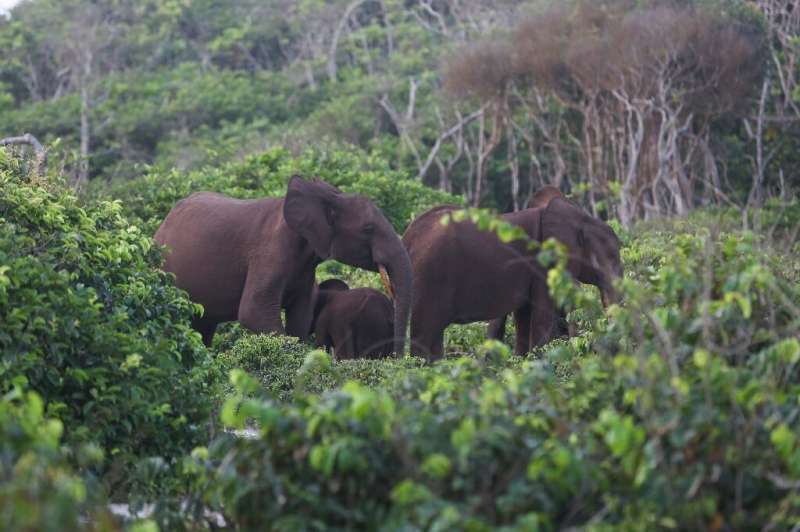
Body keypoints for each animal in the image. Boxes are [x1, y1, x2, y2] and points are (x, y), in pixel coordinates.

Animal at [154, 177, 412, 356]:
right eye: (368, 228)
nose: (398, 360)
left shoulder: (305, 267)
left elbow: (301, 316)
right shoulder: (269, 251)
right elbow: (253, 312)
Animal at [404, 196, 620, 362]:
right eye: (611, 259)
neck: (581, 218)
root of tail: (408, 237)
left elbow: (524, 315)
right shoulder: (543, 265)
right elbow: (541, 316)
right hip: (430, 276)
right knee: (424, 334)